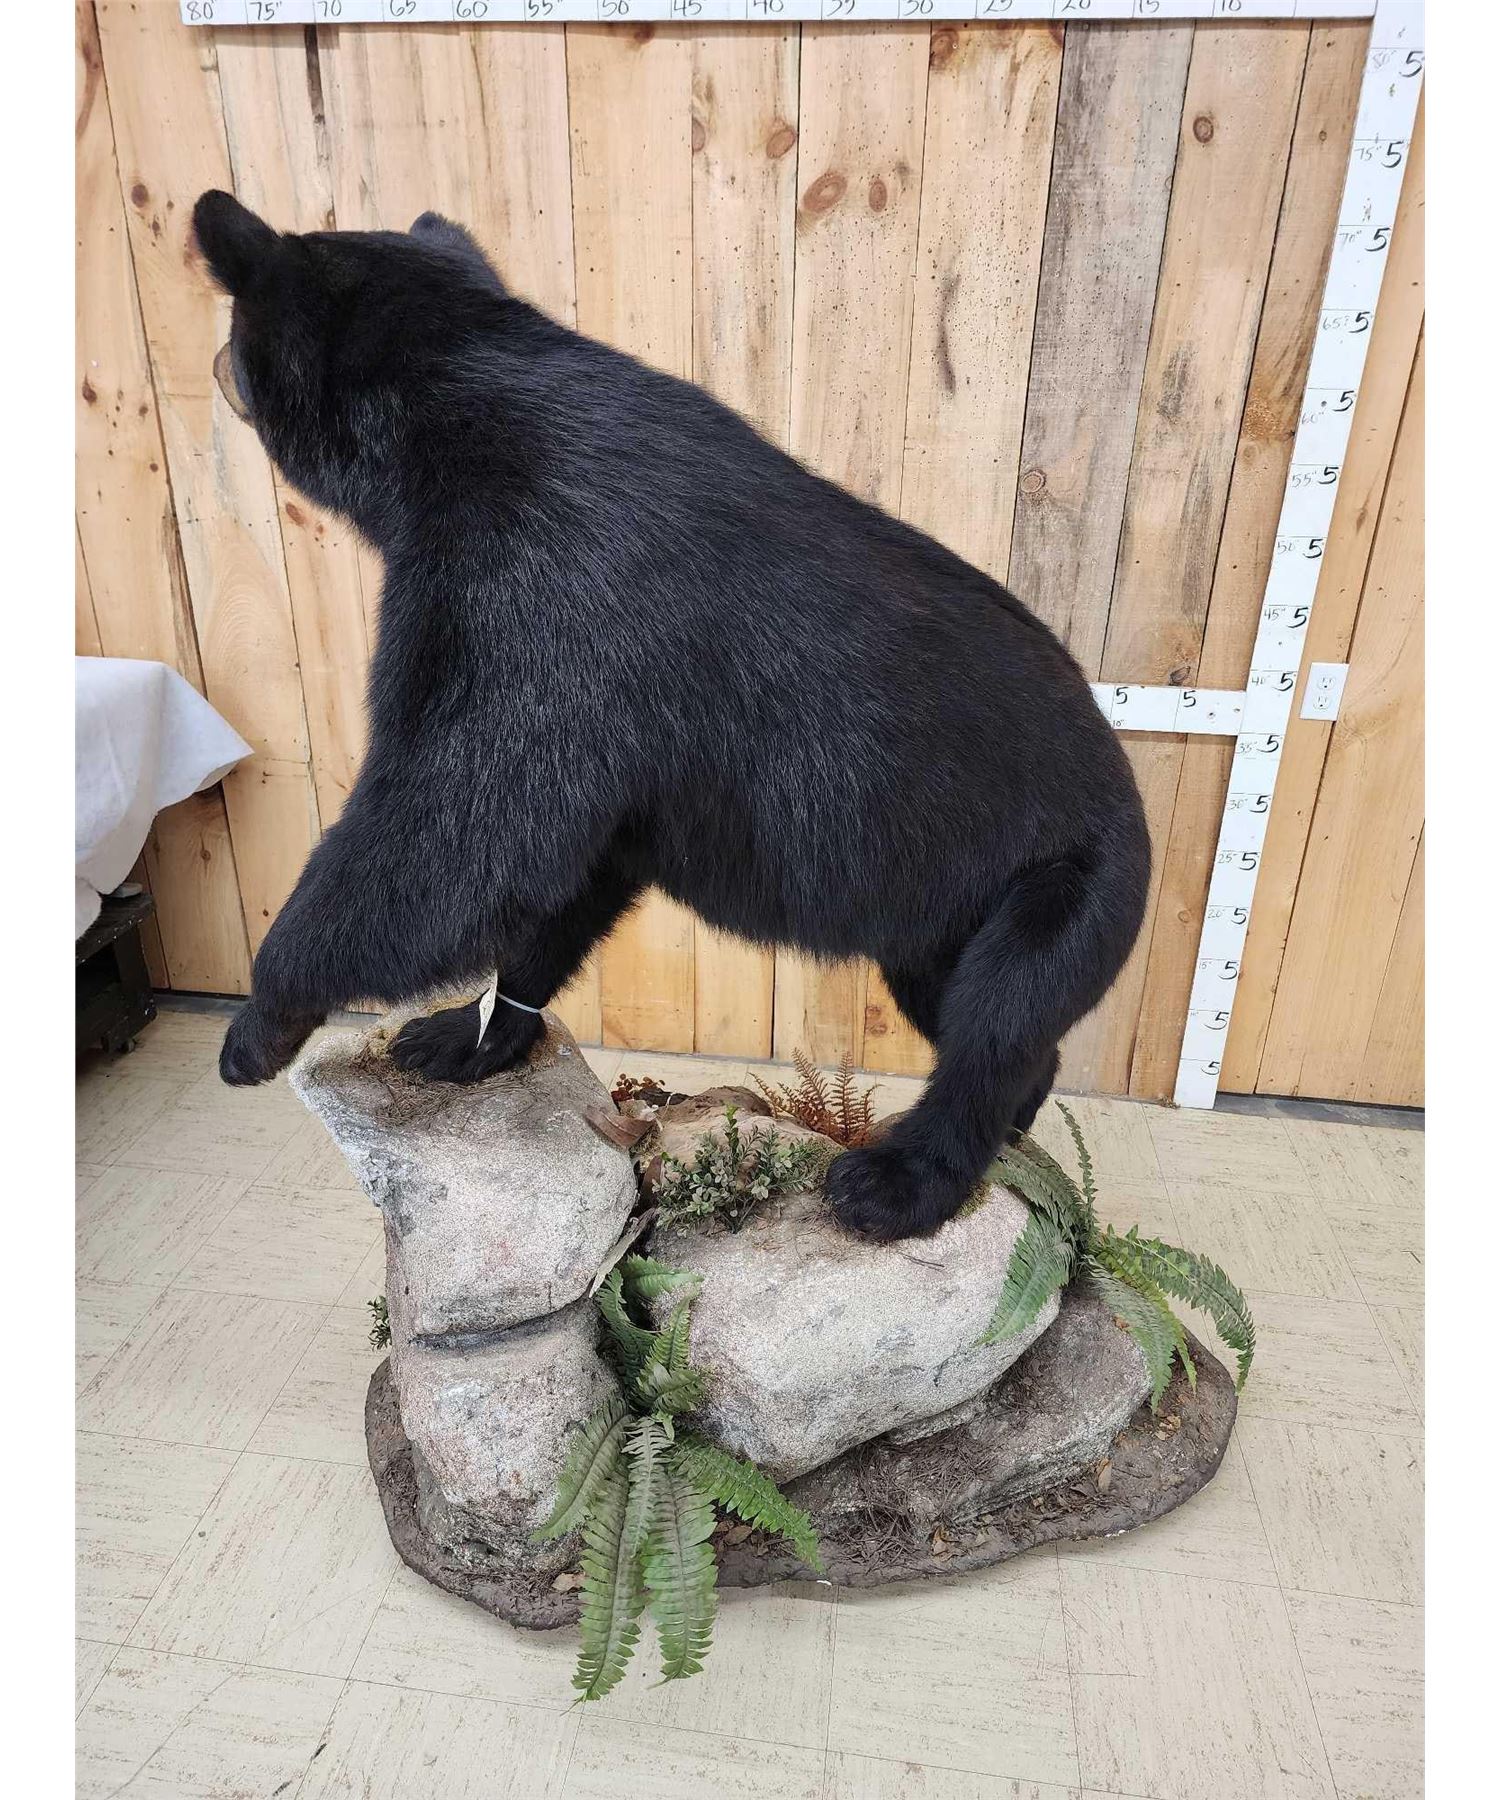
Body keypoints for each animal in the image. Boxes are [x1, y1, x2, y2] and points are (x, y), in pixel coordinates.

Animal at [193, 189, 1150, 1243]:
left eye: (233, 334)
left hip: (1063, 882)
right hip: (943, 910)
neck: (439, 429)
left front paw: (257, 1025)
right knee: (974, 1013)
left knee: (999, 1015)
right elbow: (566, 875)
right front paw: (459, 1034)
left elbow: (453, 826)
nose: (212, 368)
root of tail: (1135, 805)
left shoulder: (537, 588)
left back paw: (895, 1179)